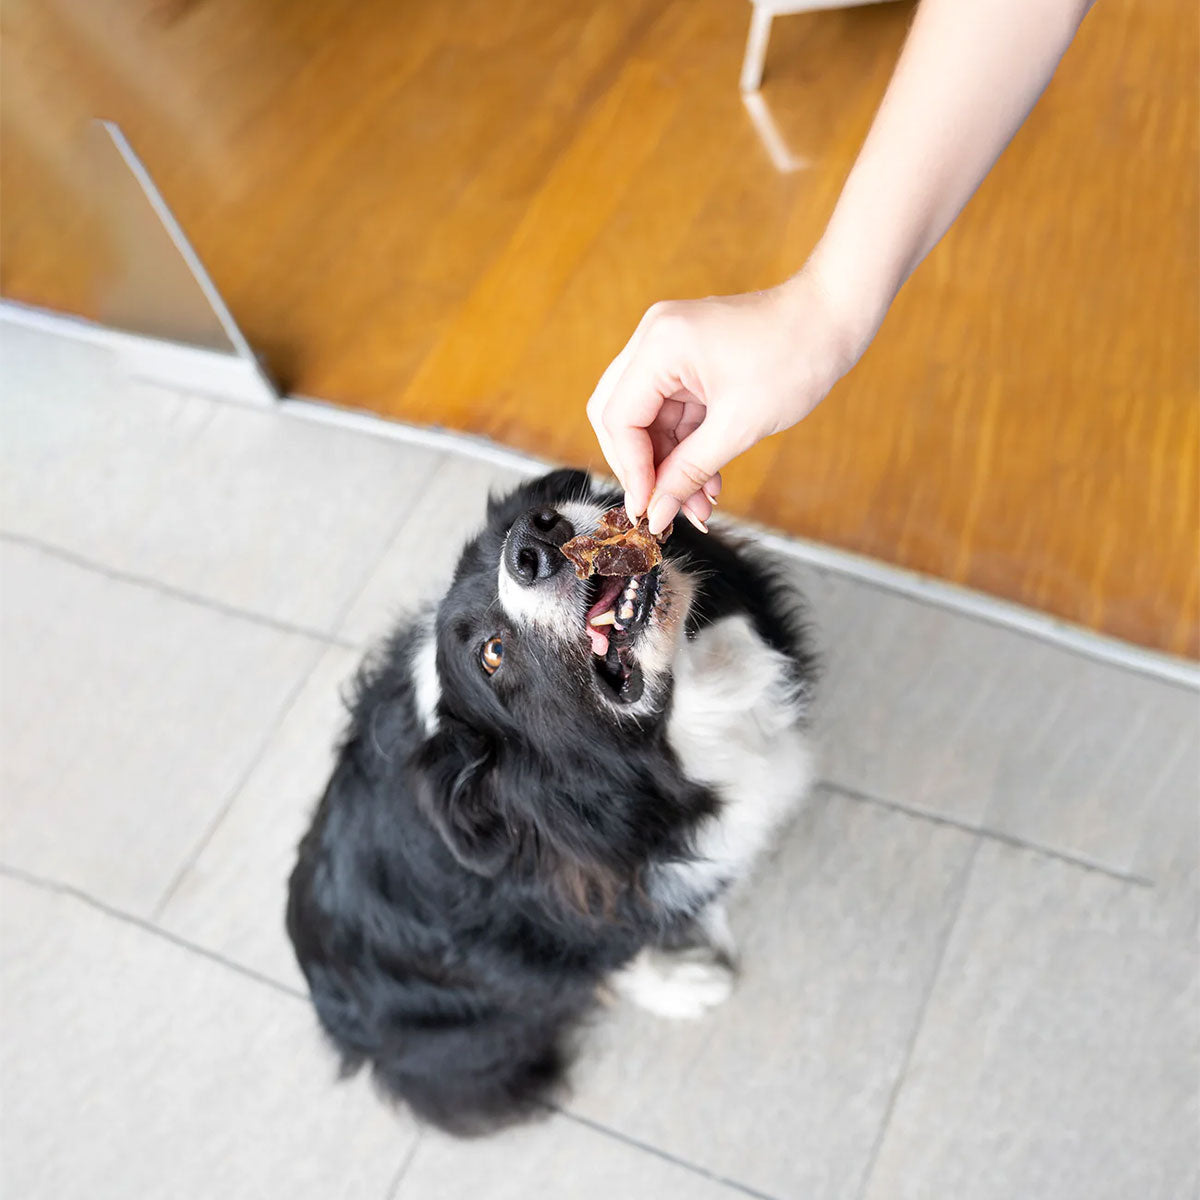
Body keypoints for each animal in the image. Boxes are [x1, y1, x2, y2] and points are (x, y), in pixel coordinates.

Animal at [288, 465, 816, 1132]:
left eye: (524, 515)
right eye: (491, 653)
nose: (532, 543)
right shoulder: (556, 926)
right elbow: (619, 958)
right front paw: (691, 984)